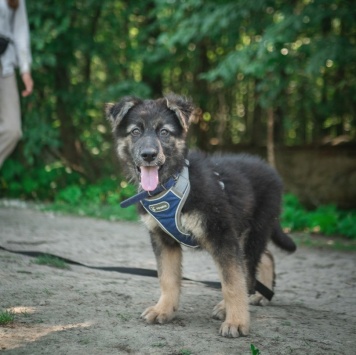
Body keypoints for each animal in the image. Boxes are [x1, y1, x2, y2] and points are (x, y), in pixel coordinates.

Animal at [105, 94, 294, 340]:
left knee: (249, 270)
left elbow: (233, 282)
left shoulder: (221, 235)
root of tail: (272, 172)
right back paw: (261, 295)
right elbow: (167, 278)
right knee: (266, 257)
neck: (171, 183)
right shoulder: (163, 240)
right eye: (135, 131)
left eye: (164, 132)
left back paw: (231, 306)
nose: (148, 155)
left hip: (253, 230)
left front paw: (237, 321)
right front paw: (163, 310)